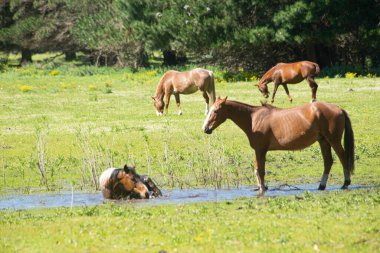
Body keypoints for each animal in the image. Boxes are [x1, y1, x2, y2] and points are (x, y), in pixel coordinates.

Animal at [203, 97, 354, 196]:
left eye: (216, 111)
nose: (205, 128)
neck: (253, 118)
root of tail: (339, 108)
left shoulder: (260, 150)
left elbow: (260, 171)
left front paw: (262, 189)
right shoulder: (260, 151)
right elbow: (258, 170)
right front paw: (261, 187)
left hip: (333, 140)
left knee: (343, 158)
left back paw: (345, 183)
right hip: (323, 141)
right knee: (328, 162)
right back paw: (321, 186)